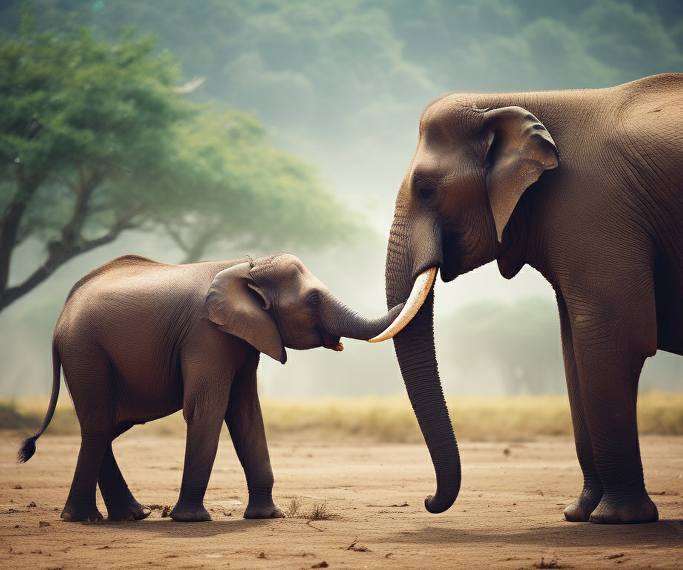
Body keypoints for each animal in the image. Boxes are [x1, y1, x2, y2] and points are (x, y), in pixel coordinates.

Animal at [18, 253, 402, 523]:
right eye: (312, 300)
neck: (246, 266)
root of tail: (62, 315)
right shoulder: (206, 334)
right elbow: (208, 408)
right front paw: (191, 520)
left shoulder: (245, 337)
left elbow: (246, 413)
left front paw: (267, 516)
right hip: (85, 351)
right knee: (98, 425)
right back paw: (86, 518)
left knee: (105, 426)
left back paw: (129, 516)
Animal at [369, 73, 682, 524]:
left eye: (426, 189)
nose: (428, 501)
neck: (505, 100)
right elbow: (573, 348)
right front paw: (578, 514)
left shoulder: (595, 207)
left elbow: (613, 338)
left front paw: (616, 519)